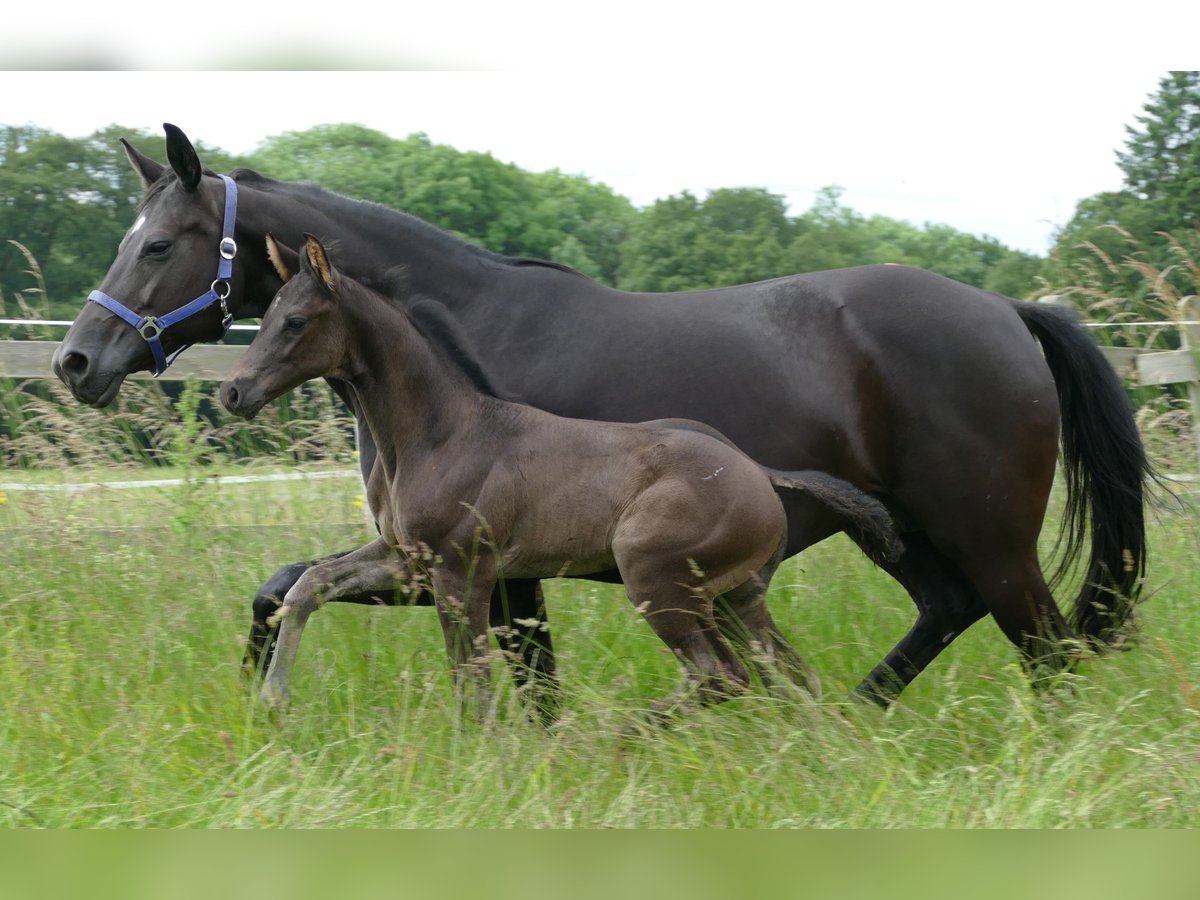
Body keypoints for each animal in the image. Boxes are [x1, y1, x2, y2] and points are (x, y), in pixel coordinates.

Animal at [54, 123, 1152, 710]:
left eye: (157, 246)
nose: (77, 361)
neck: (460, 340)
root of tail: (1008, 309)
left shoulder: (485, 570)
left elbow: (518, 682)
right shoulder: (448, 564)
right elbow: (280, 589)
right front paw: (259, 697)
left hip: (990, 536)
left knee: (1045, 648)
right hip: (904, 531)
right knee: (941, 613)